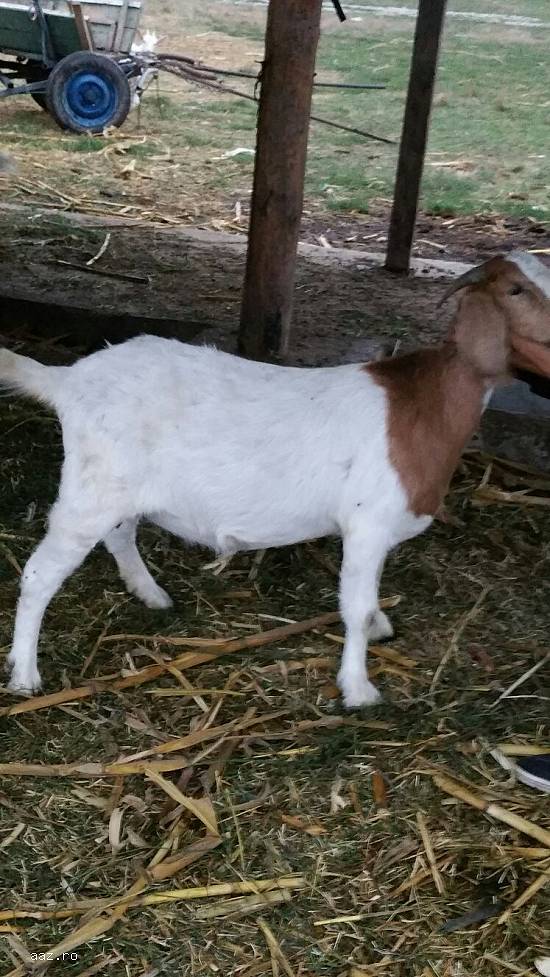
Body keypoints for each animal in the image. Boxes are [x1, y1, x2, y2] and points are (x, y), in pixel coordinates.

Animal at [2, 252, 550, 704]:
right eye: (516, 291)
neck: (422, 406)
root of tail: (68, 379)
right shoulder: (367, 523)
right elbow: (354, 604)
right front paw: (358, 689)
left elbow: (370, 593)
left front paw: (378, 629)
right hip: (89, 492)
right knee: (40, 573)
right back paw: (26, 675)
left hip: (117, 489)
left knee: (120, 535)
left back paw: (151, 594)